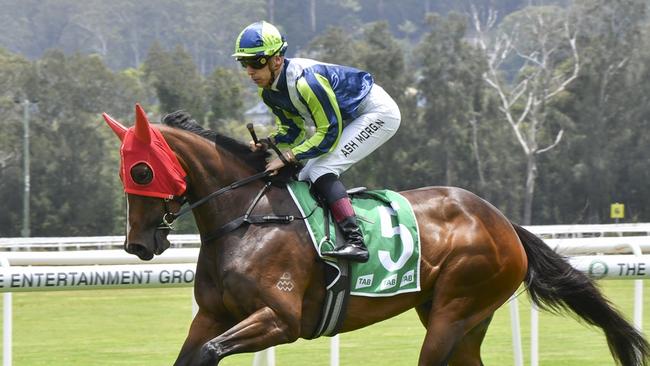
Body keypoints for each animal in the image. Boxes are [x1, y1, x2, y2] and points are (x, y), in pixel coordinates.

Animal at [102, 104, 648, 364]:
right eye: (125, 172)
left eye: (143, 172)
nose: (138, 245)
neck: (247, 218)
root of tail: (502, 223)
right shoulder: (213, 315)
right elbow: (193, 354)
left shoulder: (280, 320)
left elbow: (211, 353)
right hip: (463, 319)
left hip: (454, 313)